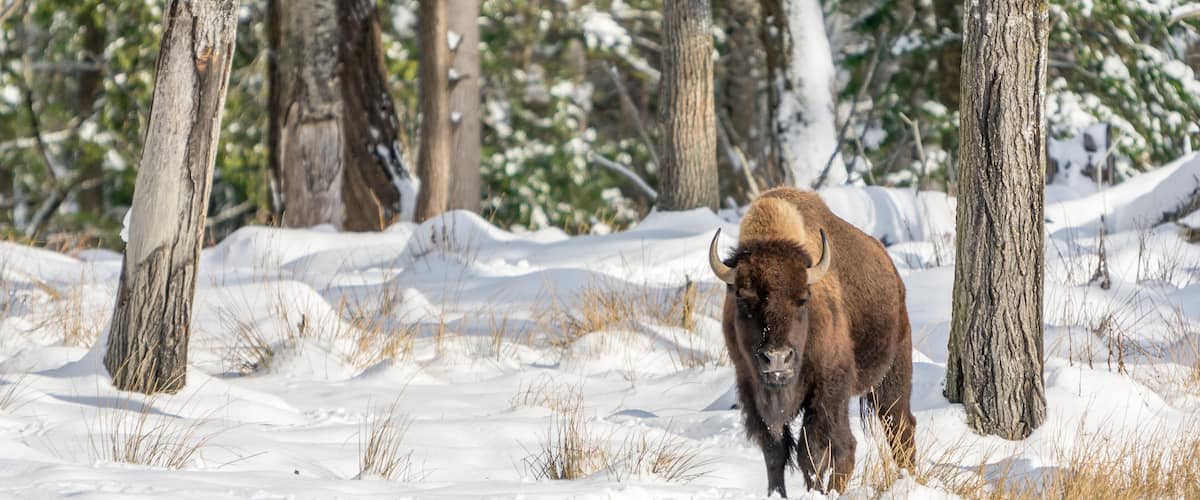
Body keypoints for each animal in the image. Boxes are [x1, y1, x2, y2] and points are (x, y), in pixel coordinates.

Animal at [709, 188, 915, 496]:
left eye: (803, 298)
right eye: (743, 298)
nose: (777, 358)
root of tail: (894, 274)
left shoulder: (826, 388)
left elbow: (816, 450)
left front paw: (817, 492)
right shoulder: (751, 388)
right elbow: (775, 450)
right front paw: (777, 494)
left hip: (890, 378)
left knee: (895, 430)